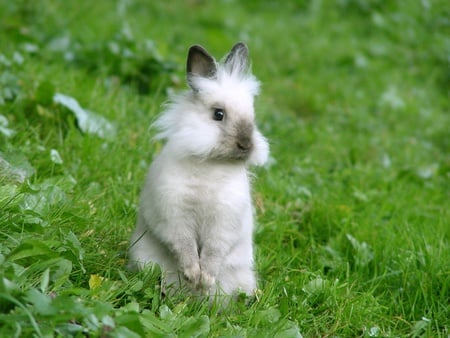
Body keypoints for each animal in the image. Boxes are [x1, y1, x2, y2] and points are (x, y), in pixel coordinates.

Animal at [129, 43, 270, 302]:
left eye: (252, 115)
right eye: (218, 114)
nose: (246, 145)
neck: (211, 164)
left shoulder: (224, 222)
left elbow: (214, 251)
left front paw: (205, 280)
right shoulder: (174, 215)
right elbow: (184, 245)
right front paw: (194, 275)